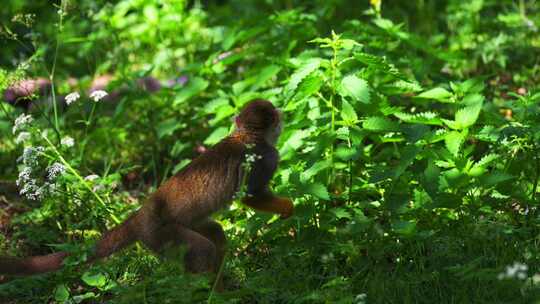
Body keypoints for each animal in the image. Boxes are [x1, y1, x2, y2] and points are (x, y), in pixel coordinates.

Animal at [0, 100, 292, 288]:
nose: (282, 120)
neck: (246, 135)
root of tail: (141, 215)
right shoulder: (267, 157)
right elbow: (251, 196)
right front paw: (289, 208)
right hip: (159, 235)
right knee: (202, 250)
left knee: (214, 233)